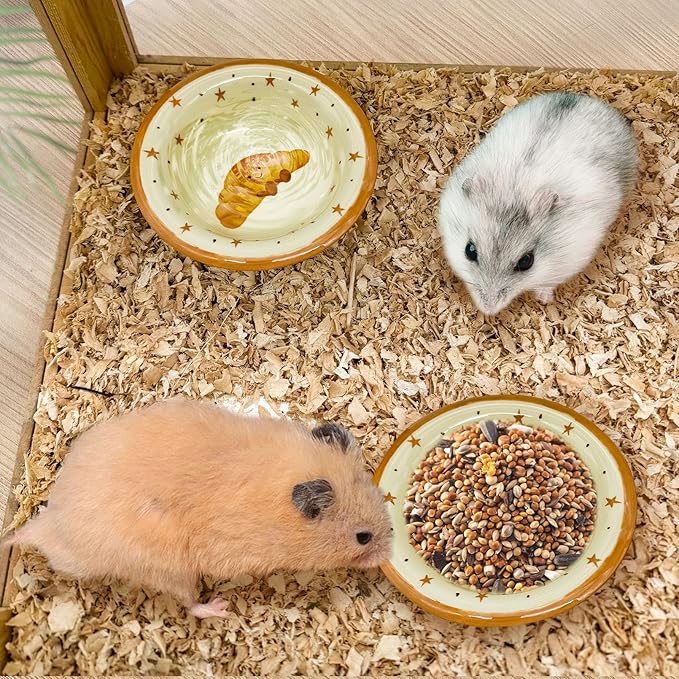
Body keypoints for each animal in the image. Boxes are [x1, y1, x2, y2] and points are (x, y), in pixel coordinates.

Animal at [7, 399, 392, 618]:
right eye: (362, 537)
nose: (388, 555)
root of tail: (50, 524)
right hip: (169, 568)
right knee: (189, 605)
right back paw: (220, 609)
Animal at [438, 92, 639, 315]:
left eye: (527, 262)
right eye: (469, 251)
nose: (488, 310)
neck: (516, 190)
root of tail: (585, 97)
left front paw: (544, 299)